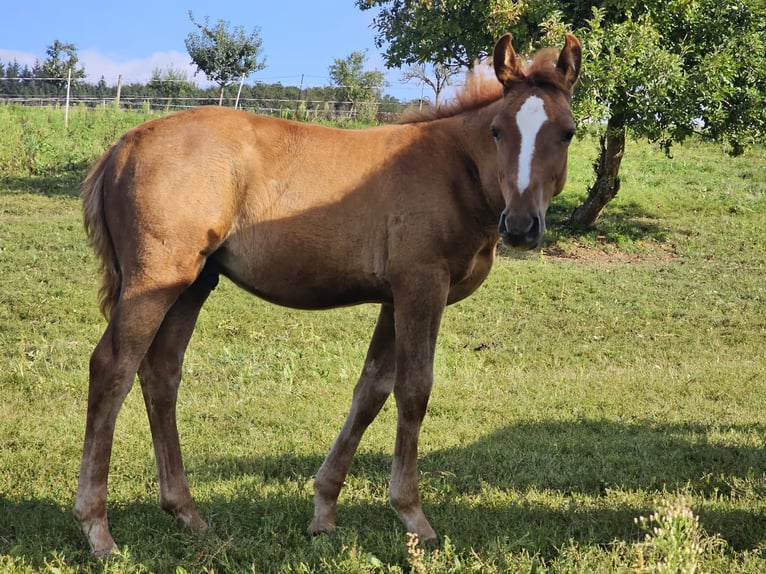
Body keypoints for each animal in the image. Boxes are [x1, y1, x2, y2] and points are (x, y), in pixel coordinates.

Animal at [76, 33, 584, 556]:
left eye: (567, 133)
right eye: (498, 131)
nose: (521, 225)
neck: (453, 170)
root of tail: (121, 147)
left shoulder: (393, 298)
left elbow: (371, 390)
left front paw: (323, 511)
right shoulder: (421, 286)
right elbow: (413, 390)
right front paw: (413, 516)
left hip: (194, 284)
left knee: (161, 373)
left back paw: (185, 512)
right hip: (156, 279)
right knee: (112, 368)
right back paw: (97, 528)